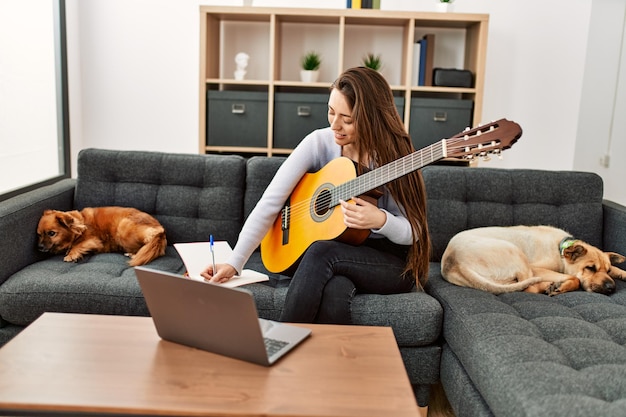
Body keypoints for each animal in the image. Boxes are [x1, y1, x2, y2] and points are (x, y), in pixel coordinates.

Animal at [36, 206, 166, 266]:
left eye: (51, 233)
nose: (39, 247)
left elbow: (77, 245)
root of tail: (161, 231)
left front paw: (71, 254)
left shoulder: (93, 240)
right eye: (39, 235)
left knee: (150, 239)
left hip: (123, 227)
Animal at [438, 224, 624, 296]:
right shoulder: (538, 268)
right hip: (517, 254)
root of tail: (455, 261)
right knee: (530, 287)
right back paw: (550, 286)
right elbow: (574, 278)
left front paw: (621, 272)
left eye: (607, 270)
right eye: (590, 268)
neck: (561, 248)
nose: (611, 288)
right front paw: (561, 286)